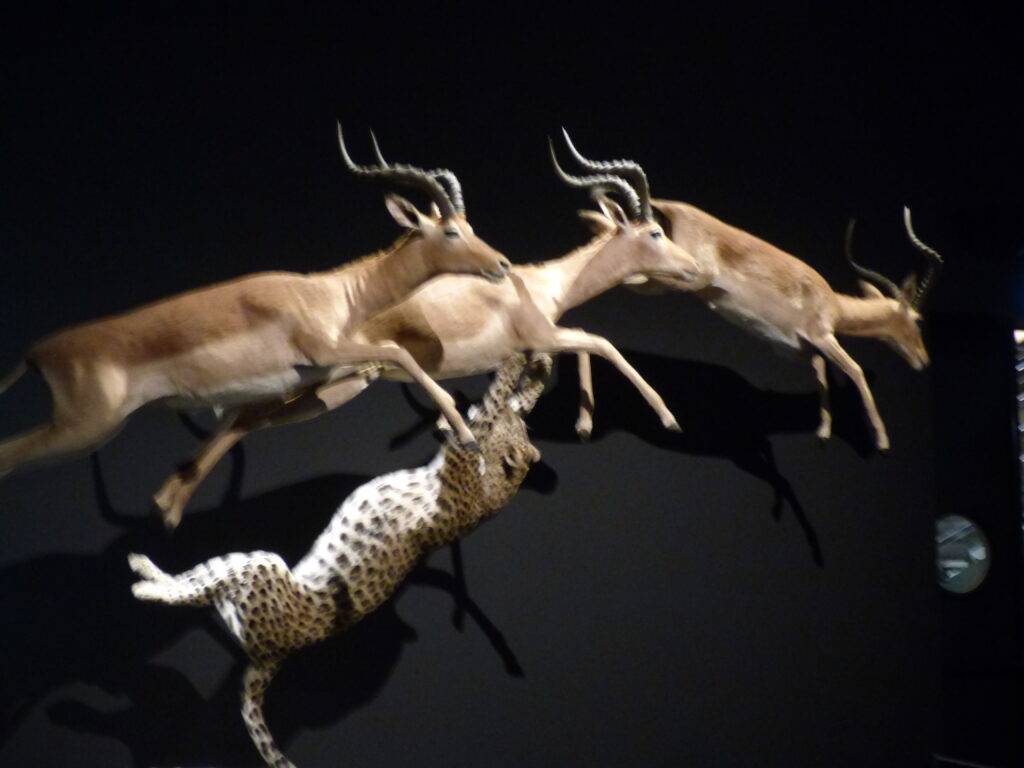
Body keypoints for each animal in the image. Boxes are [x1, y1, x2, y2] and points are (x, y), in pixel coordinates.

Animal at [0, 126, 509, 514]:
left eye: (471, 226)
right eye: (450, 231)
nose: (502, 264)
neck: (333, 295)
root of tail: (37, 351)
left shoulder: (319, 377)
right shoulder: (329, 352)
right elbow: (401, 352)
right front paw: (467, 438)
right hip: (84, 429)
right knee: (9, 456)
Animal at [133, 354, 557, 768]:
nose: (467, 408)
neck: (498, 485)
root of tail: (271, 657)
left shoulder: (463, 452)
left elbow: (495, 398)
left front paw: (513, 364)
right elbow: (509, 399)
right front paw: (537, 364)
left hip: (259, 568)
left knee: (193, 591)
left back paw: (144, 582)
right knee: (197, 584)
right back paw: (147, 567)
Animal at [149, 134, 704, 528]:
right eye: (656, 231)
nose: (695, 268)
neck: (539, 283)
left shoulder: (538, 343)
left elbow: (587, 342)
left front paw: (585, 424)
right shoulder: (541, 337)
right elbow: (603, 343)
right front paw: (669, 419)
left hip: (335, 387)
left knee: (243, 419)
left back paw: (167, 505)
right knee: (243, 417)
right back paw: (169, 507)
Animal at [561, 131, 942, 450]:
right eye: (918, 320)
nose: (924, 360)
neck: (833, 303)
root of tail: (669, 206)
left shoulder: (795, 348)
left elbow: (821, 372)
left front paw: (823, 432)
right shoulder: (822, 335)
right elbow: (855, 370)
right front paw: (881, 440)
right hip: (668, 279)